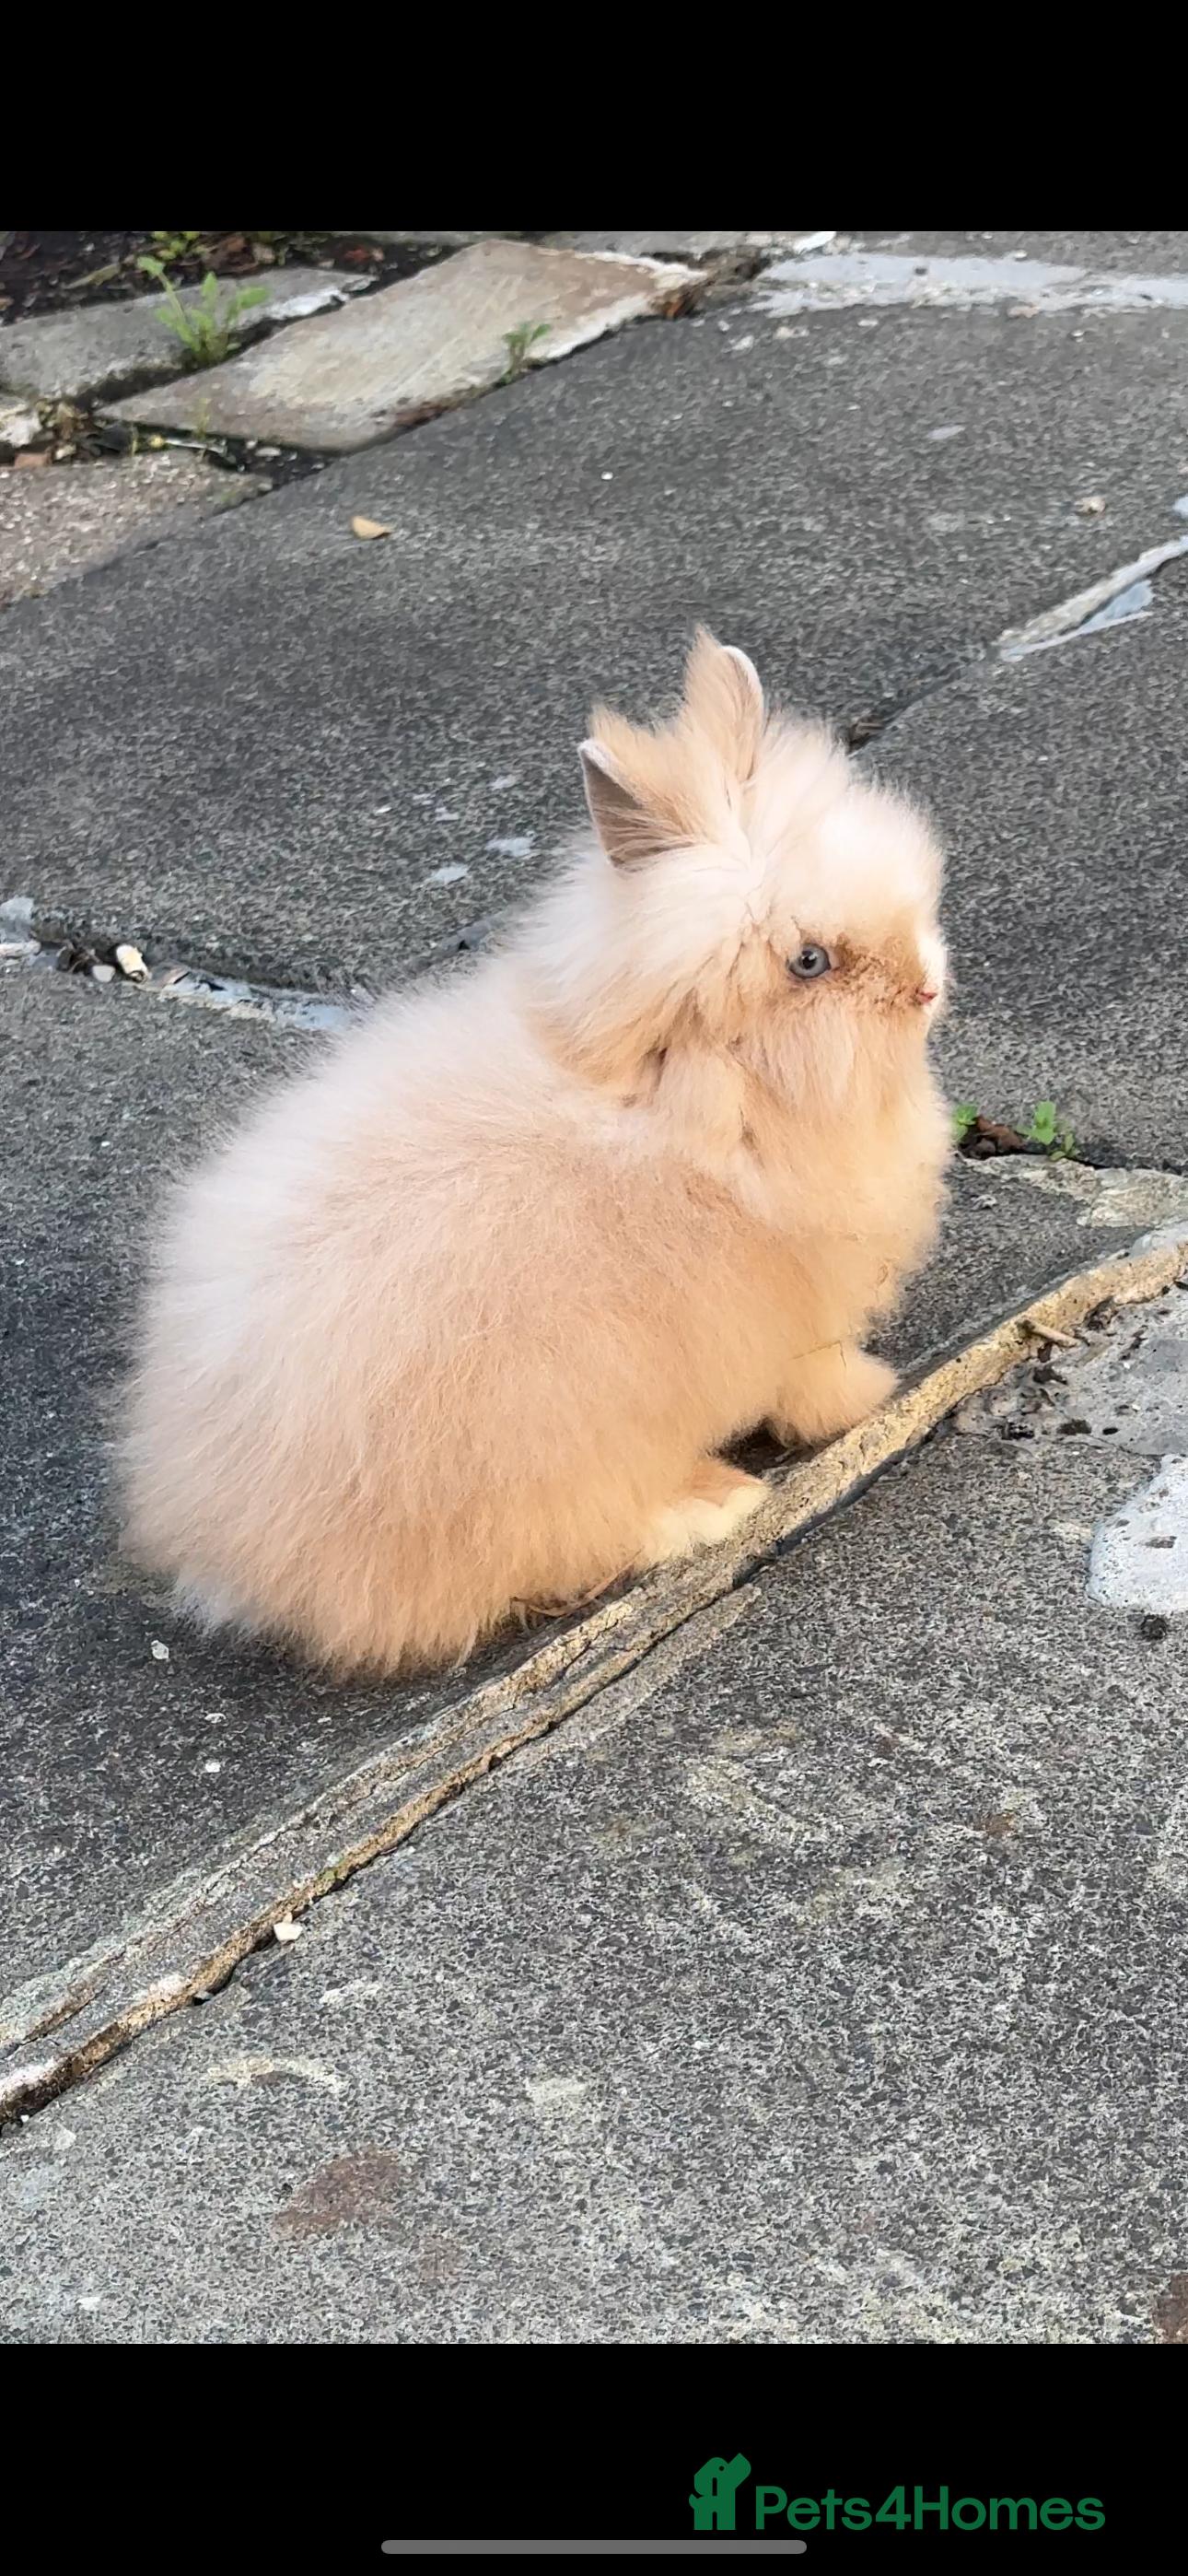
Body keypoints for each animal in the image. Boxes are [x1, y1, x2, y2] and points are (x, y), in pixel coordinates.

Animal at [120, 631, 951, 1677]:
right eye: (811, 962)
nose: (926, 987)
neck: (700, 1089)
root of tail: (224, 1545)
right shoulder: (807, 1306)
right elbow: (817, 1376)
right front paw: (866, 1400)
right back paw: (714, 1504)